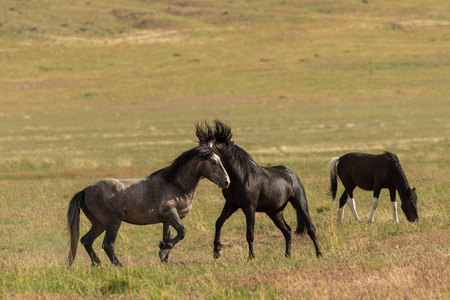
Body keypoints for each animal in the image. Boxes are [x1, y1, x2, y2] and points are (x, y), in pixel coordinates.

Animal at [66, 139, 229, 266]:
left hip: (99, 224)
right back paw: (119, 266)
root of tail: (86, 190)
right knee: (107, 245)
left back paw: (97, 264)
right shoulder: (170, 213)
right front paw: (163, 250)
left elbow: (169, 237)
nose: (227, 182)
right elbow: (182, 232)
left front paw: (164, 258)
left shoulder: (167, 221)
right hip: (112, 222)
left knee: (86, 240)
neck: (177, 184)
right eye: (214, 161)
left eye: (221, 160)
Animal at [197, 120, 324, 258]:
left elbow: (250, 234)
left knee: (311, 229)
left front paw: (251, 257)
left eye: (207, 151)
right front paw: (217, 252)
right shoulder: (231, 205)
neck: (241, 177)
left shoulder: (250, 208)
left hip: (300, 204)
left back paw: (319, 254)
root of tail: (292, 174)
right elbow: (219, 222)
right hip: (275, 212)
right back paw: (287, 255)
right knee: (287, 231)